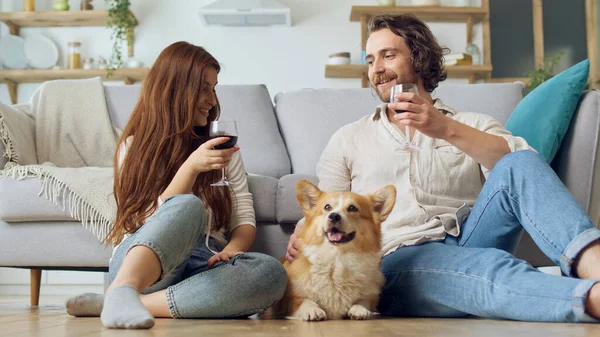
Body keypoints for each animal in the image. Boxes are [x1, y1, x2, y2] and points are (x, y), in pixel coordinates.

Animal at [274, 180, 396, 318]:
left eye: (352, 208)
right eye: (327, 207)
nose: (333, 216)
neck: (337, 257)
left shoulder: (370, 295)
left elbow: (364, 301)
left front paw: (359, 309)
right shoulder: (292, 298)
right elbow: (305, 301)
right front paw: (312, 310)